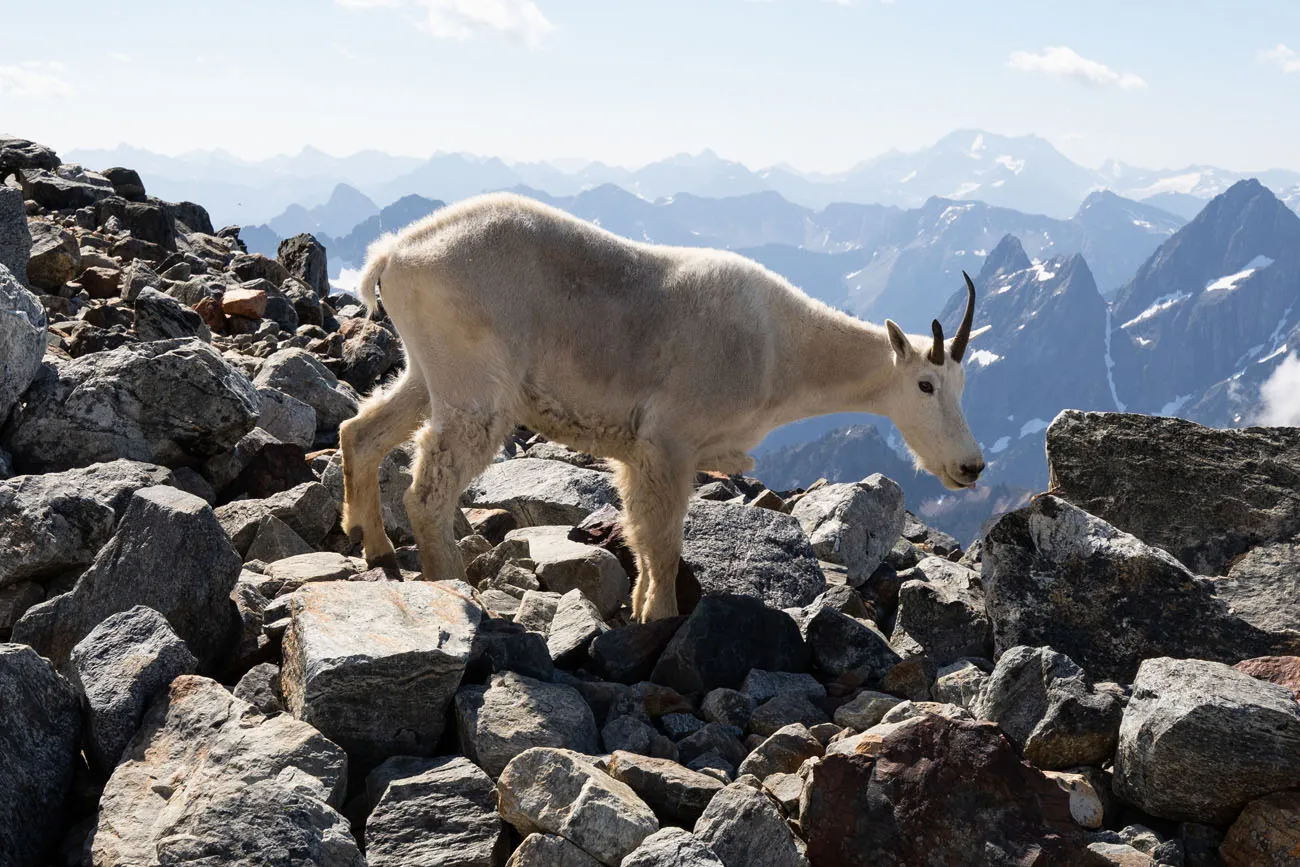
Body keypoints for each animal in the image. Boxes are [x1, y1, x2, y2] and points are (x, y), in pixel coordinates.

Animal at [340, 193, 977, 621]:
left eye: (963, 383)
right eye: (926, 385)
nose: (970, 467)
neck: (781, 348)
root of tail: (393, 255)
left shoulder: (642, 455)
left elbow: (644, 537)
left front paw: (643, 609)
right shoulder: (669, 442)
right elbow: (666, 545)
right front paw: (663, 618)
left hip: (428, 374)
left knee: (360, 429)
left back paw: (373, 545)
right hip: (473, 386)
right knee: (428, 492)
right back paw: (452, 590)